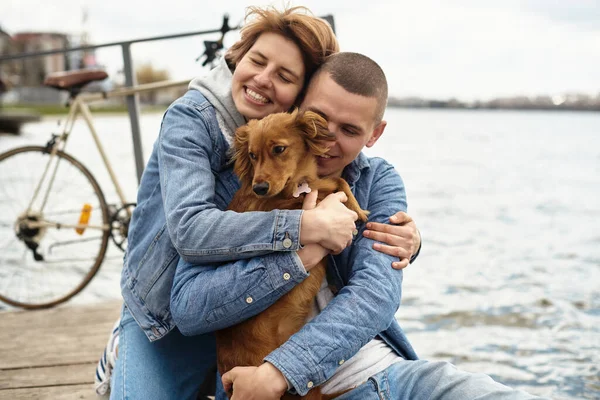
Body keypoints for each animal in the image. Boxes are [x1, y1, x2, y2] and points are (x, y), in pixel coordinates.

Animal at [218, 108, 368, 398]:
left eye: (278, 149)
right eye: (252, 155)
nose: (259, 188)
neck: (296, 184)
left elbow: (337, 179)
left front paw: (358, 208)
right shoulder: (297, 206)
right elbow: (327, 187)